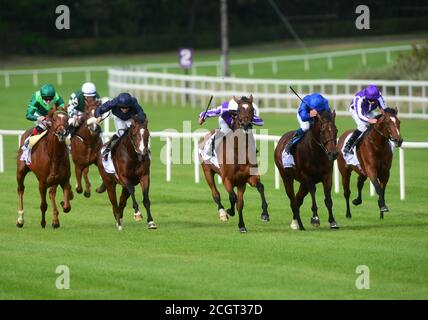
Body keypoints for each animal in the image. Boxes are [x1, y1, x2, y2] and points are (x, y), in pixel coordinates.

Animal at [201, 95, 268, 232]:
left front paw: (262, 215)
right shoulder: (227, 178)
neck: (239, 149)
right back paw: (222, 213)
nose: (246, 124)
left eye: (252, 109)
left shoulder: (245, 180)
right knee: (215, 194)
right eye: (238, 110)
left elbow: (257, 189)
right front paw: (229, 211)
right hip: (207, 171)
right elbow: (233, 197)